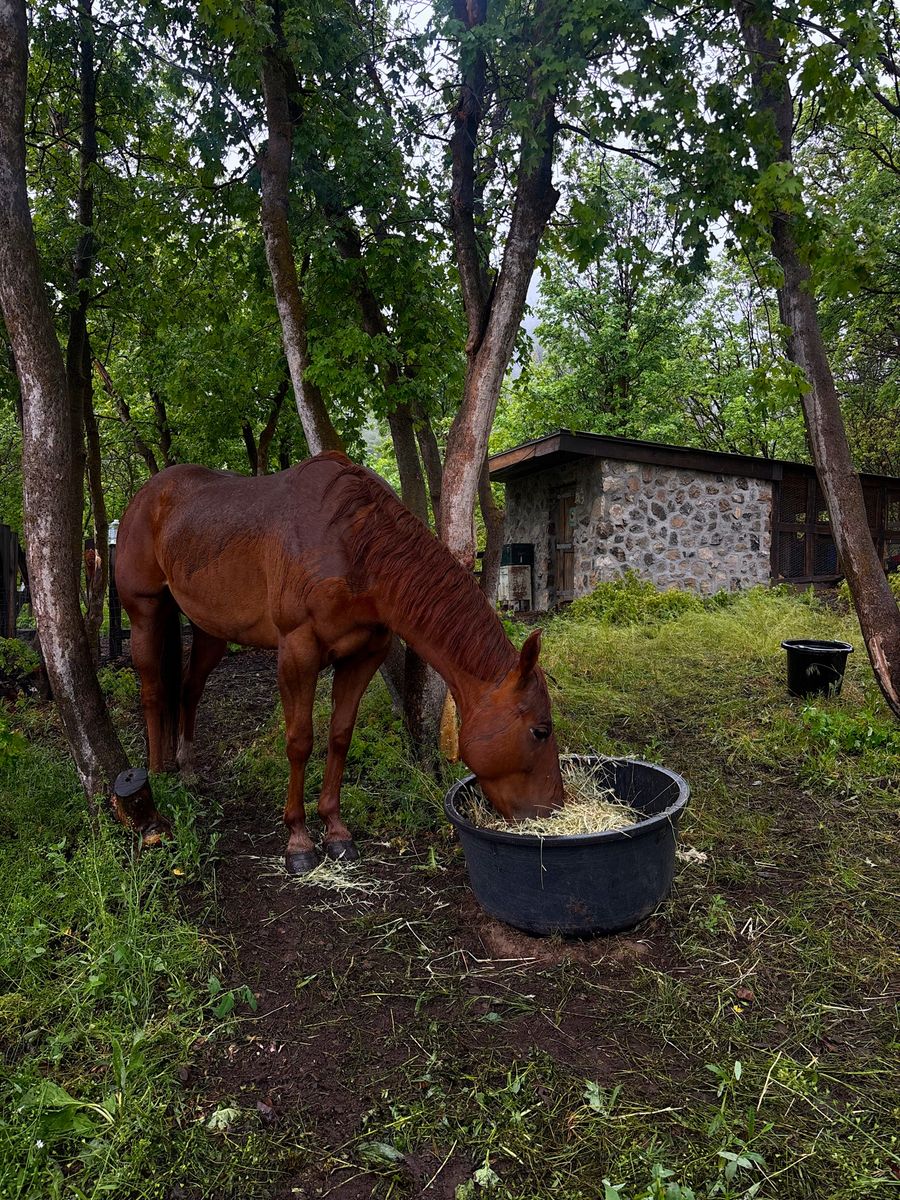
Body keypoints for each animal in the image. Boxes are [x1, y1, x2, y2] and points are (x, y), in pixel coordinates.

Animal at [115, 451, 564, 873]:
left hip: (210, 628)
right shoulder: (297, 652)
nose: (553, 809)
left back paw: (187, 766)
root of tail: (147, 495)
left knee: (189, 690)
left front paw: (335, 832)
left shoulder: (363, 656)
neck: (353, 544)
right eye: (540, 731)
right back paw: (159, 773)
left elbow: (339, 735)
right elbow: (300, 741)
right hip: (146, 614)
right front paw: (298, 841)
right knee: (153, 691)